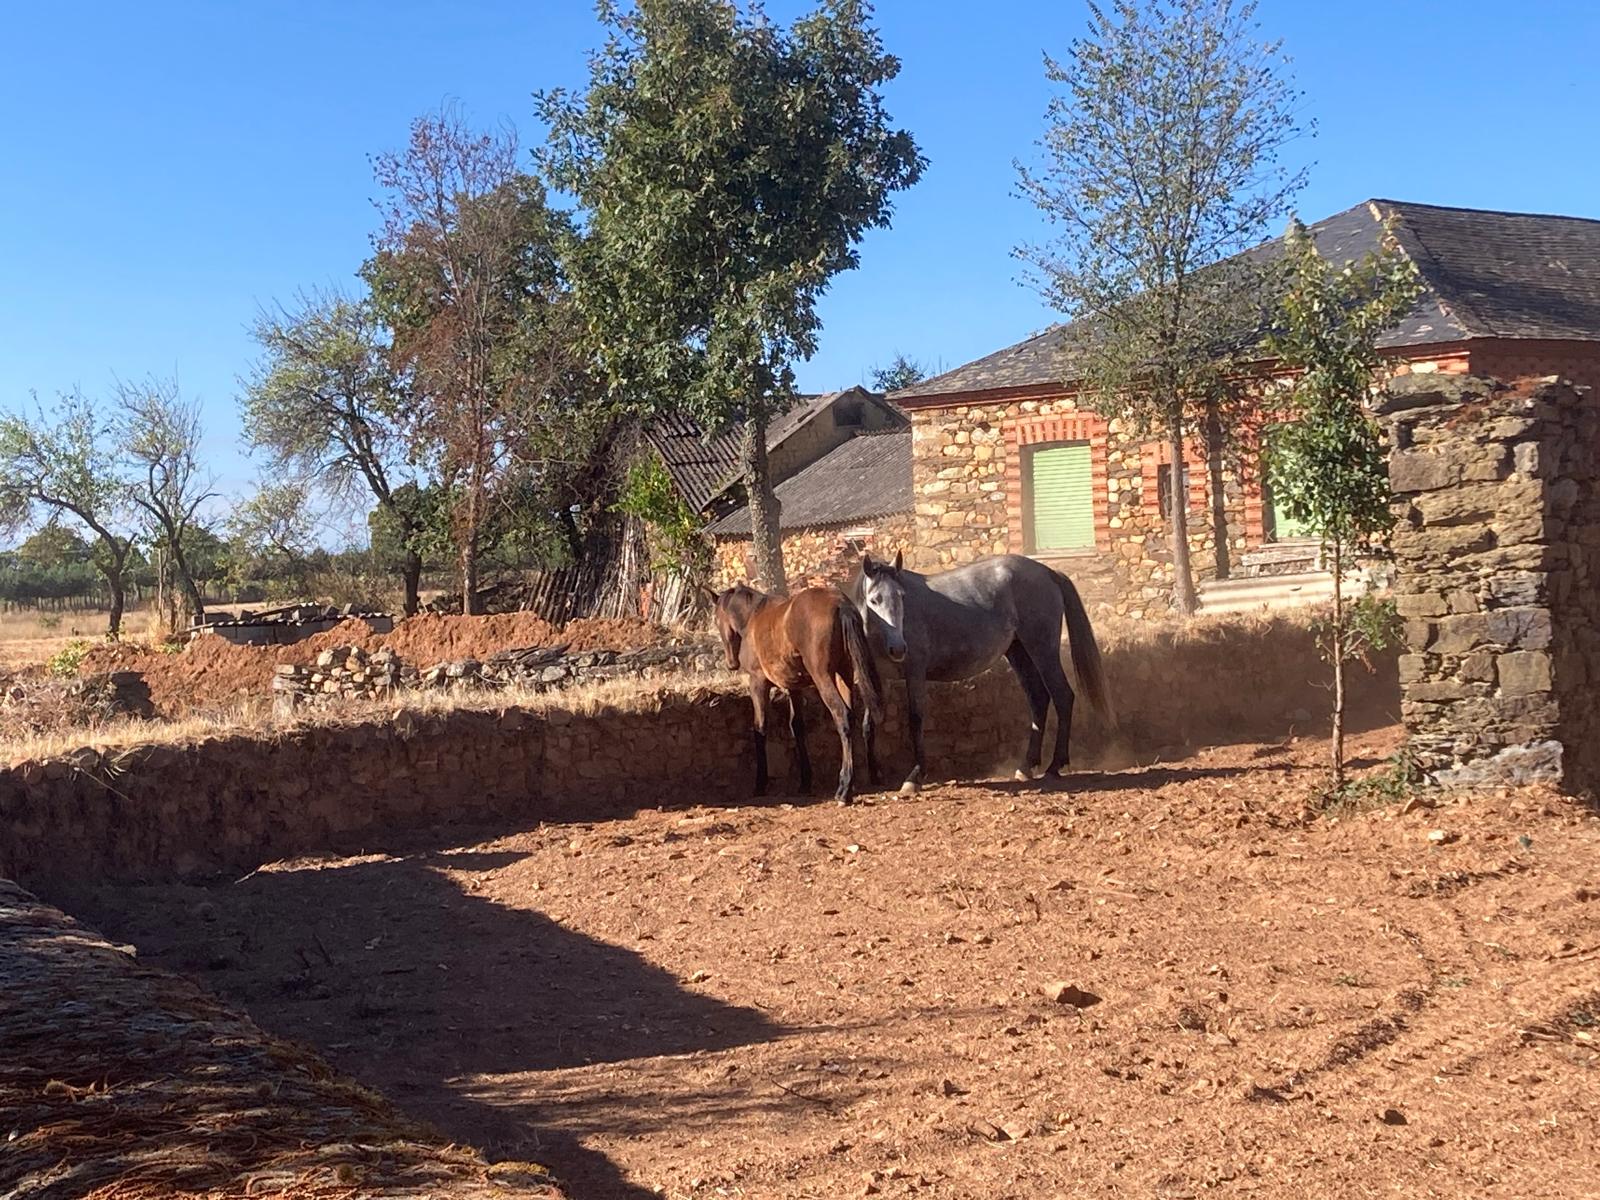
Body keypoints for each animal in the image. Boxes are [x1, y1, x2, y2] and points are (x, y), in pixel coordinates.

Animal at [710, 583, 883, 804]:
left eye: (716, 619)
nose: (731, 663)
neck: (753, 617)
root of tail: (840, 604)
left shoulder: (758, 682)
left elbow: (760, 727)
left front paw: (760, 784)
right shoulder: (794, 687)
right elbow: (797, 727)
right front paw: (805, 782)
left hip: (824, 677)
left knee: (842, 716)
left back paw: (844, 789)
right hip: (844, 674)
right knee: (851, 716)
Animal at [850, 551, 1114, 793]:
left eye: (902, 597)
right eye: (874, 600)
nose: (898, 648)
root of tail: (1048, 572)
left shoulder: (915, 671)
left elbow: (915, 719)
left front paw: (914, 777)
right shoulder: (878, 678)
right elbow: (869, 724)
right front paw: (875, 777)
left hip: (1042, 649)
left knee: (1063, 696)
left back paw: (1054, 766)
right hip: (1018, 652)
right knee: (1038, 699)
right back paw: (1026, 766)